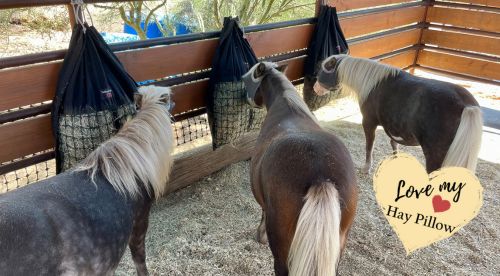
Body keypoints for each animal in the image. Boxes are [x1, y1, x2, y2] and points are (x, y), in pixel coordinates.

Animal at [314, 55, 482, 174]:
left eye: (323, 71)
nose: (315, 88)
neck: (373, 84)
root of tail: (466, 106)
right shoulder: (392, 127)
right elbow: (394, 143)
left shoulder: (368, 122)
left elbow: (369, 145)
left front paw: (366, 168)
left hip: (435, 156)